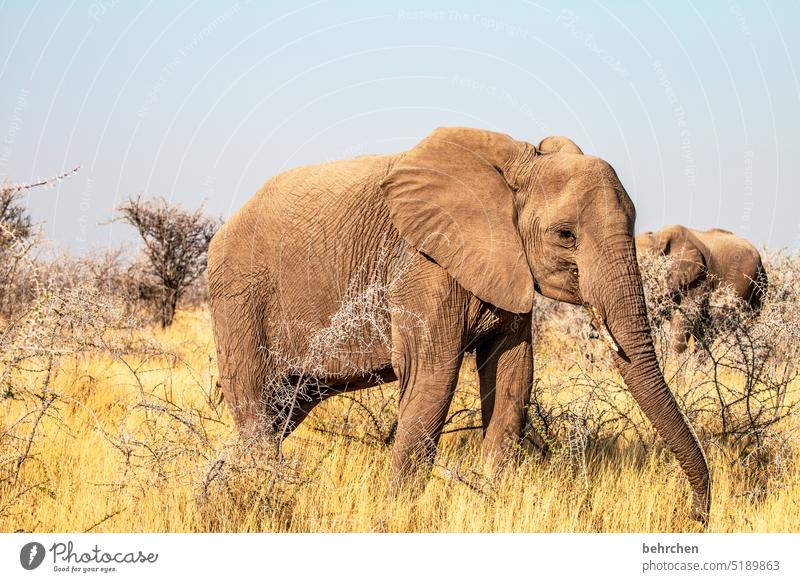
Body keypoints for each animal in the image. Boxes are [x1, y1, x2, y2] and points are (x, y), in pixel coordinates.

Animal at [208, 126, 712, 520]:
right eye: (565, 235)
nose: (694, 516)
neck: (516, 167)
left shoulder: (509, 267)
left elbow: (513, 376)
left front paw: (491, 498)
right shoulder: (423, 266)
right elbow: (432, 377)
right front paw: (398, 515)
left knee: (284, 409)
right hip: (238, 296)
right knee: (256, 407)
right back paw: (259, 488)